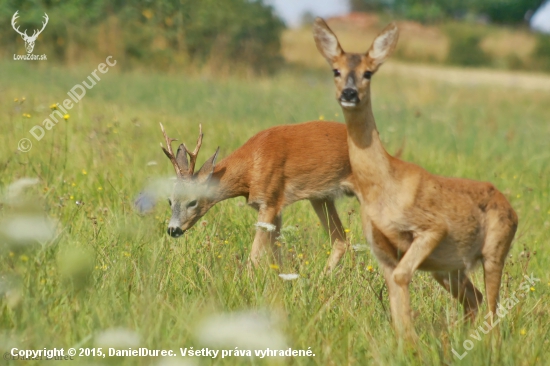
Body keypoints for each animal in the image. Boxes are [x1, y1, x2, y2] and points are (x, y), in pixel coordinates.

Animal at [157, 121, 358, 270]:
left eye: (192, 202)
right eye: (169, 200)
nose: (172, 229)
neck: (250, 168)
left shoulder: (270, 200)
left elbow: (254, 255)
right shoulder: (274, 207)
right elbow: (276, 254)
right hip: (320, 197)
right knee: (341, 240)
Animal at [312, 19, 520, 340]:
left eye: (368, 72)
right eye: (336, 69)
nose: (349, 93)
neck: (382, 185)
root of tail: (512, 208)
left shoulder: (431, 228)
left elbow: (402, 279)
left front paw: (411, 343)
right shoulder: (382, 250)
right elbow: (396, 295)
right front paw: (404, 343)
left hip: (494, 251)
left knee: (492, 309)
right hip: (449, 269)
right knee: (475, 300)